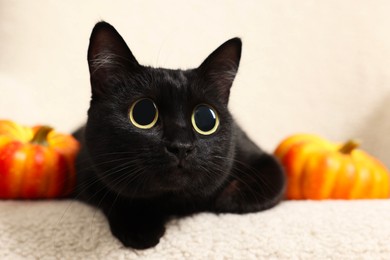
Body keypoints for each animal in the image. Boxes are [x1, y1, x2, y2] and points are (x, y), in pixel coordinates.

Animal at [73, 21, 286, 249]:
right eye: (142, 114)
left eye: (206, 119)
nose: (181, 146)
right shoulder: (86, 169)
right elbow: (118, 193)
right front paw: (140, 227)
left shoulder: (264, 161)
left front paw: (218, 200)